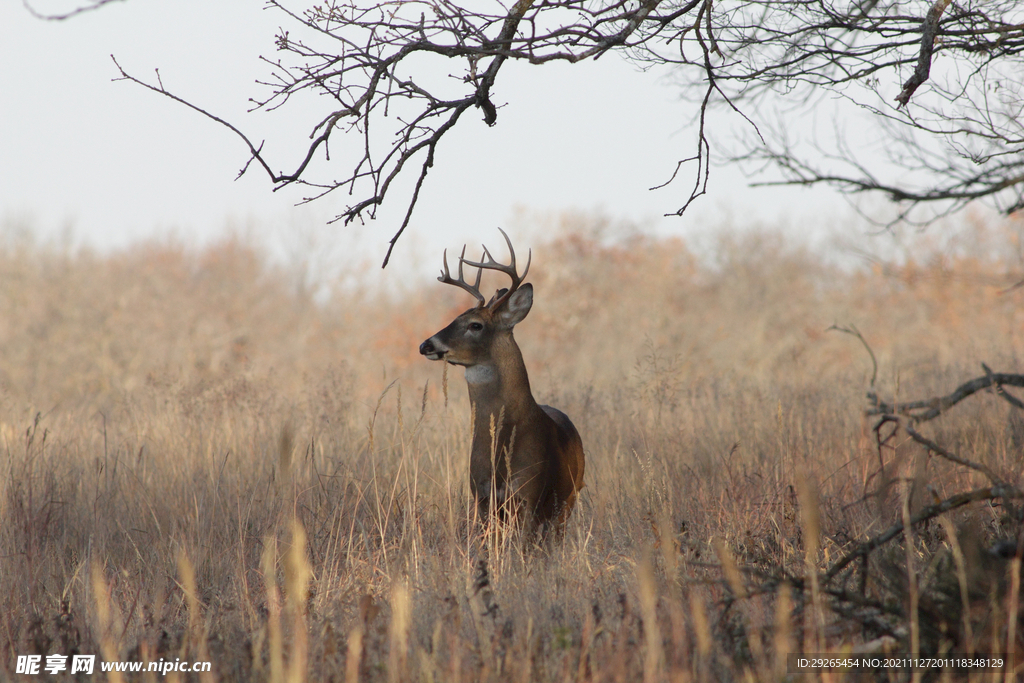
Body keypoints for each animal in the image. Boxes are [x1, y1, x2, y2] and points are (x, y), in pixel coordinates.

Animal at [419, 229, 589, 540]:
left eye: (475, 325)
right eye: (456, 317)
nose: (426, 344)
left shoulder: (530, 493)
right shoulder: (482, 496)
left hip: (568, 499)